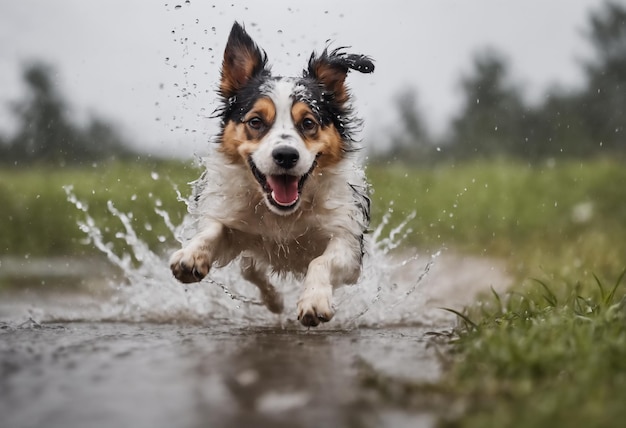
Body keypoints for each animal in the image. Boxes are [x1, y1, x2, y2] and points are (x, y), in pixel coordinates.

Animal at [168, 21, 372, 326]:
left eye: (308, 123)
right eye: (255, 121)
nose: (286, 155)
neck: (282, 216)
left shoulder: (346, 237)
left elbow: (321, 261)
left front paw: (314, 301)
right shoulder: (232, 218)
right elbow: (212, 231)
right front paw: (191, 257)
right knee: (251, 271)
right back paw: (274, 301)